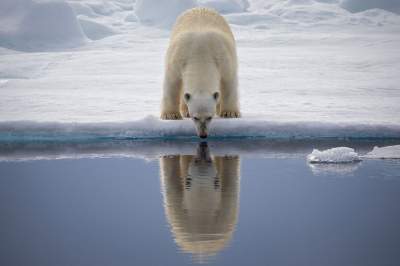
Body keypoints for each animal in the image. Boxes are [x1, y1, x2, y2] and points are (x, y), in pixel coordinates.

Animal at [160, 7, 241, 138]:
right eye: (195, 117)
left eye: (209, 117)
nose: (203, 134)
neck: (200, 55)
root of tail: (200, 8)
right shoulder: (178, 58)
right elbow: (172, 82)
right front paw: (171, 115)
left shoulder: (223, 58)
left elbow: (228, 81)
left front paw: (229, 113)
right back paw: (185, 110)